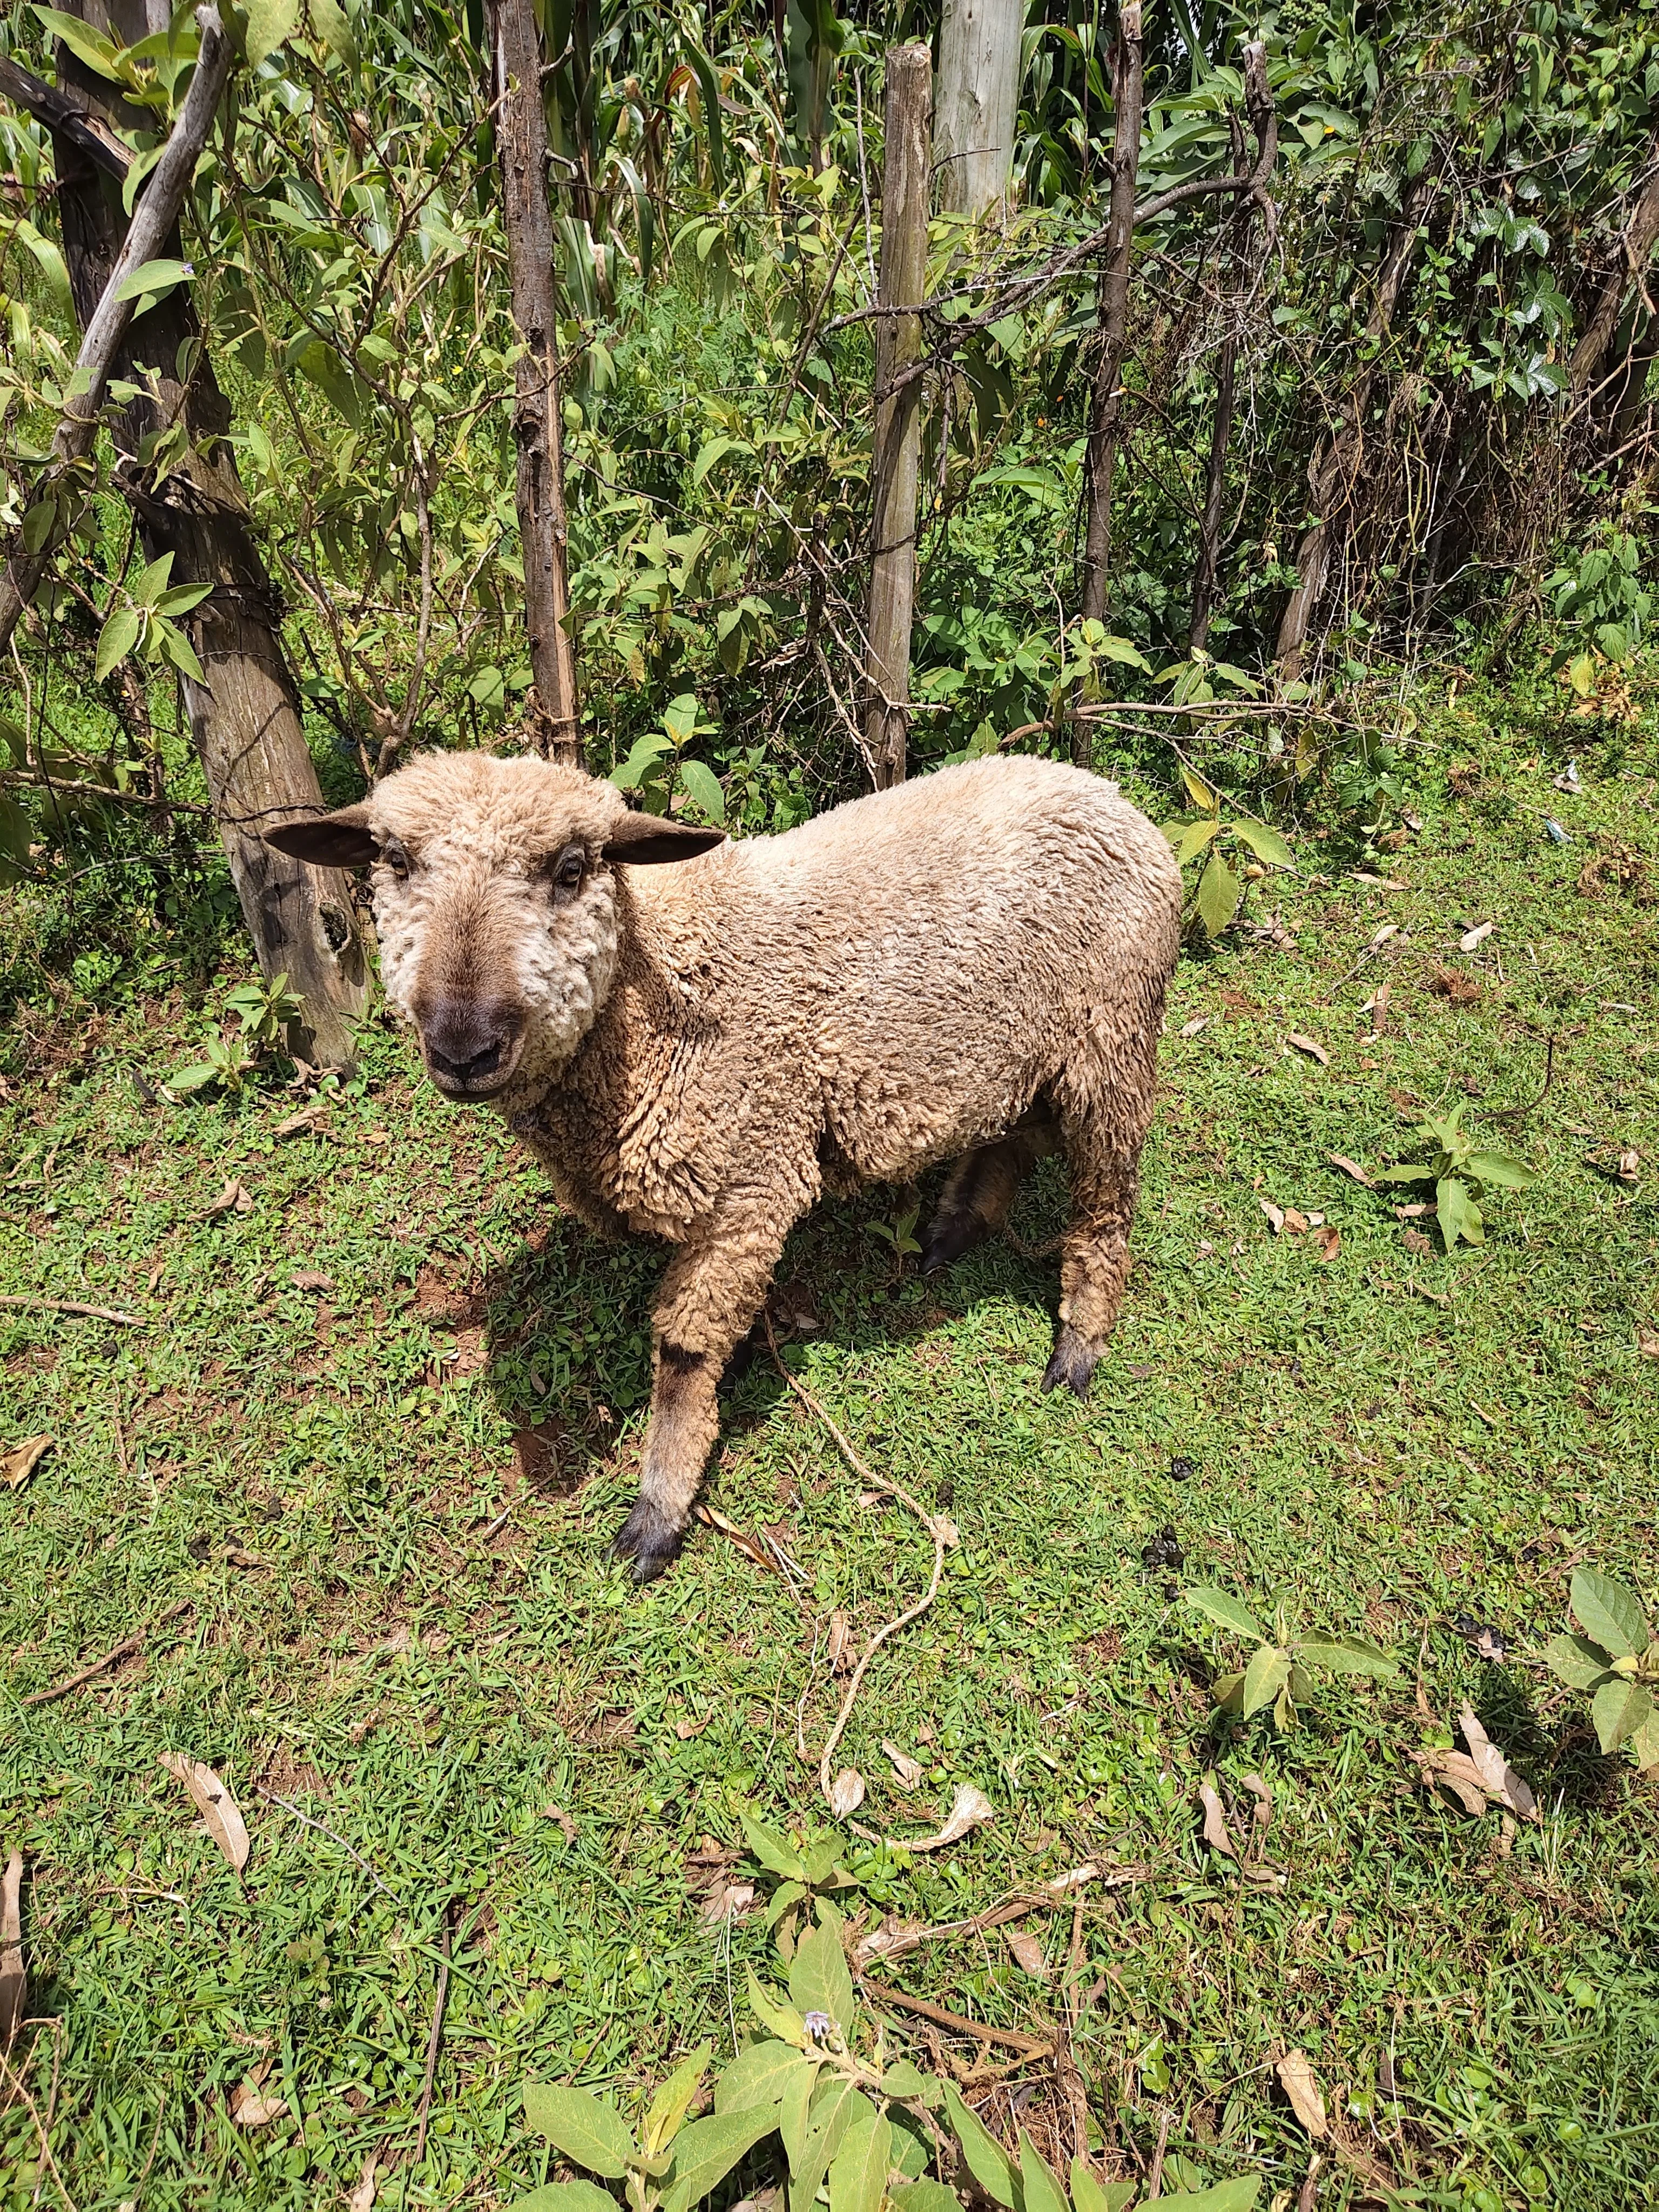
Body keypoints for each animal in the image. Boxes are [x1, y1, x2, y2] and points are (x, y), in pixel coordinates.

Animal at [266, 750, 1182, 1581]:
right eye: (394, 860)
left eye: (572, 869)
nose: (464, 1046)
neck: (652, 1007)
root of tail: (1107, 794)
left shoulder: (754, 1179)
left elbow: (683, 1350)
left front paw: (658, 1512)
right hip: (1025, 1051)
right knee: (1013, 1134)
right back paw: (953, 1230)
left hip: (1113, 1035)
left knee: (1106, 1199)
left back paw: (1078, 1346)